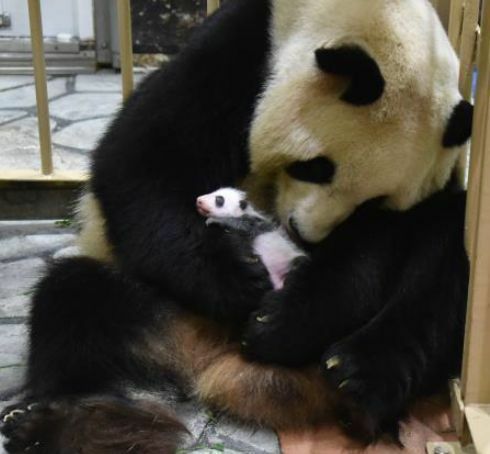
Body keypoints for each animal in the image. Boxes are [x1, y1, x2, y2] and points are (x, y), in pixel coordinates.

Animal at [0, 0, 474, 452]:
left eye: (373, 202)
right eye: (315, 167)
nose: (303, 234)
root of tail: (218, 363)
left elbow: (374, 249)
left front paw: (281, 321)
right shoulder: (240, 52)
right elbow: (143, 161)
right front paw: (239, 279)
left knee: (443, 268)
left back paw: (356, 377)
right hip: (155, 303)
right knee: (72, 302)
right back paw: (53, 423)